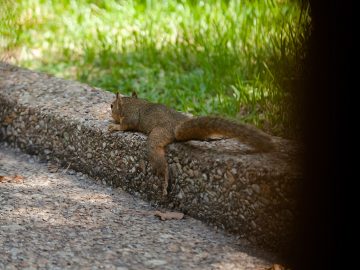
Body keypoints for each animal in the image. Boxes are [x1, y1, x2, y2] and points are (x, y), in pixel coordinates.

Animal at [108, 92, 274, 195]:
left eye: (111, 106)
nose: (110, 109)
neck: (132, 102)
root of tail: (177, 125)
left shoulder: (130, 117)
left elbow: (127, 125)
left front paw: (115, 126)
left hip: (159, 134)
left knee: (156, 153)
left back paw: (165, 179)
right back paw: (214, 137)